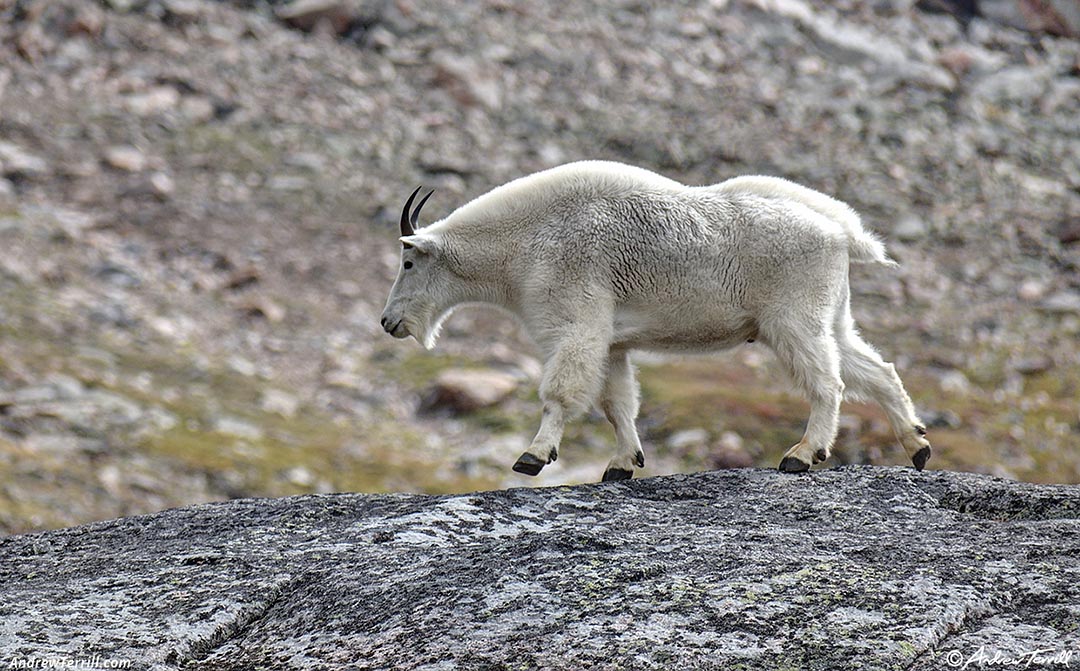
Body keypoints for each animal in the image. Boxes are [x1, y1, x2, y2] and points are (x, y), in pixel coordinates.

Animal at [380, 159, 928, 479]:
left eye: (407, 262)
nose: (389, 322)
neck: (521, 244)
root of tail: (841, 231)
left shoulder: (576, 324)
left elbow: (560, 393)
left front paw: (533, 456)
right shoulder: (611, 342)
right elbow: (618, 404)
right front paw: (623, 464)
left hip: (794, 319)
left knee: (829, 383)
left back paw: (802, 453)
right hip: (831, 316)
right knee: (878, 371)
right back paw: (917, 446)